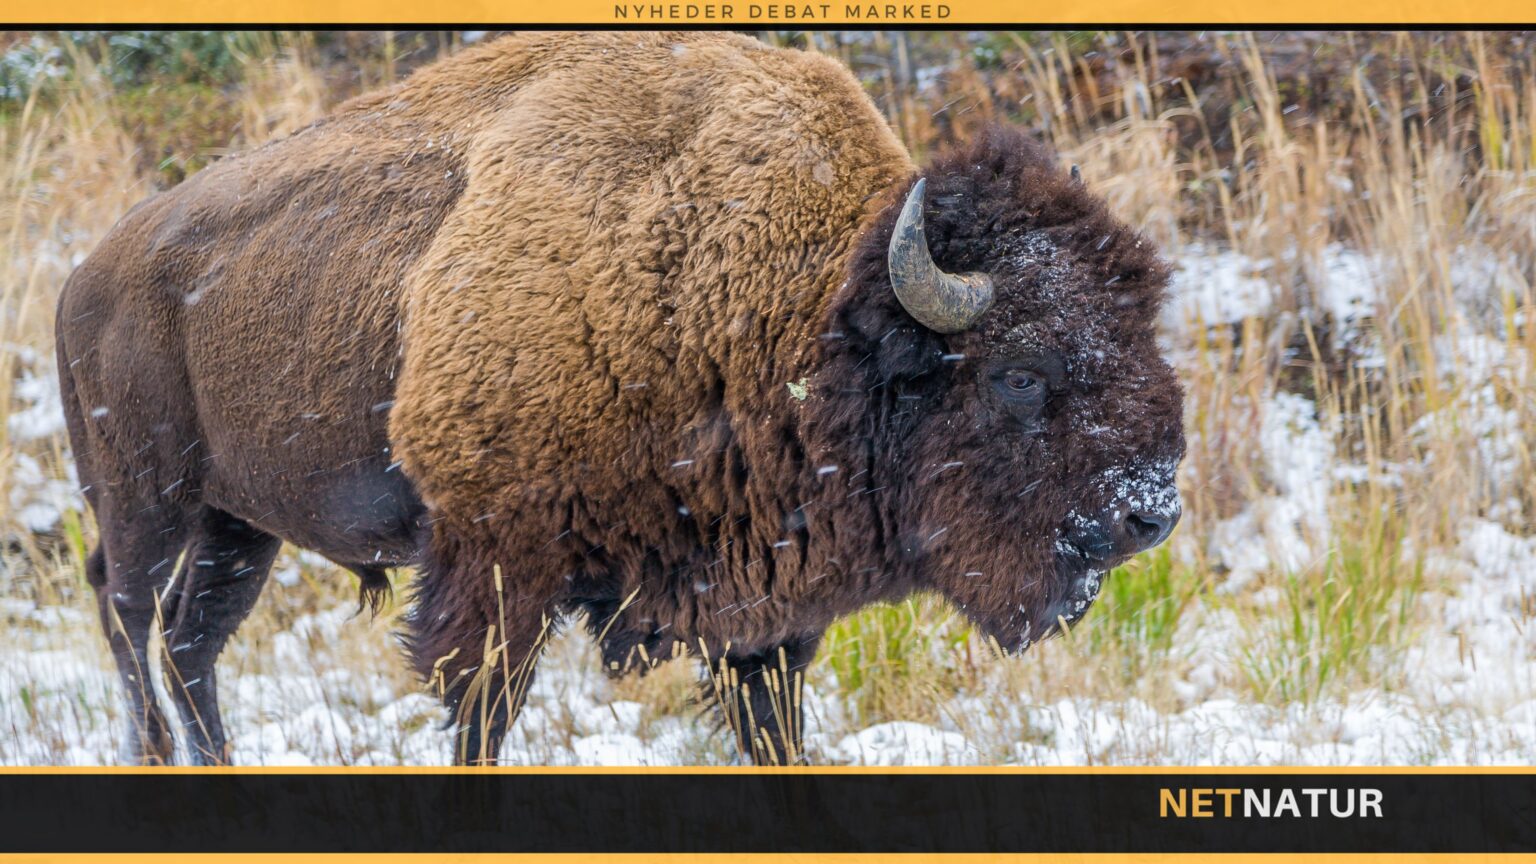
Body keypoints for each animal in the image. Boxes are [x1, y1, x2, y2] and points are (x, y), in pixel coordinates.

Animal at [56, 31, 1184, 765]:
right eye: (1020, 372)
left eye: (1141, 333)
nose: (1151, 511)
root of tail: (86, 273)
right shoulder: (497, 569)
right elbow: (480, 715)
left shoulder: (761, 609)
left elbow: (776, 729)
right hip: (148, 499)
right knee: (128, 613)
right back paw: (154, 761)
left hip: (240, 524)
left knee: (191, 639)